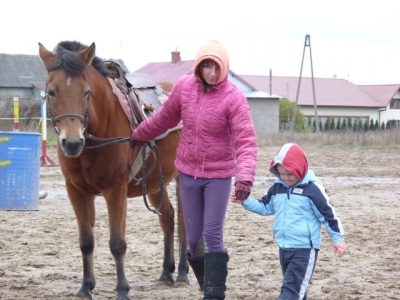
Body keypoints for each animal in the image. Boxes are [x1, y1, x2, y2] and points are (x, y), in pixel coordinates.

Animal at [38, 41, 188, 298]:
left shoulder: (115, 190)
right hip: (155, 182)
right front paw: (86, 287)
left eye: (87, 92)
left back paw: (183, 273)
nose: (72, 143)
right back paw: (167, 271)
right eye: (51, 92)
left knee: (185, 223)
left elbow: (117, 243)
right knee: (168, 217)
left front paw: (122, 289)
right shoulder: (76, 191)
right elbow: (86, 241)